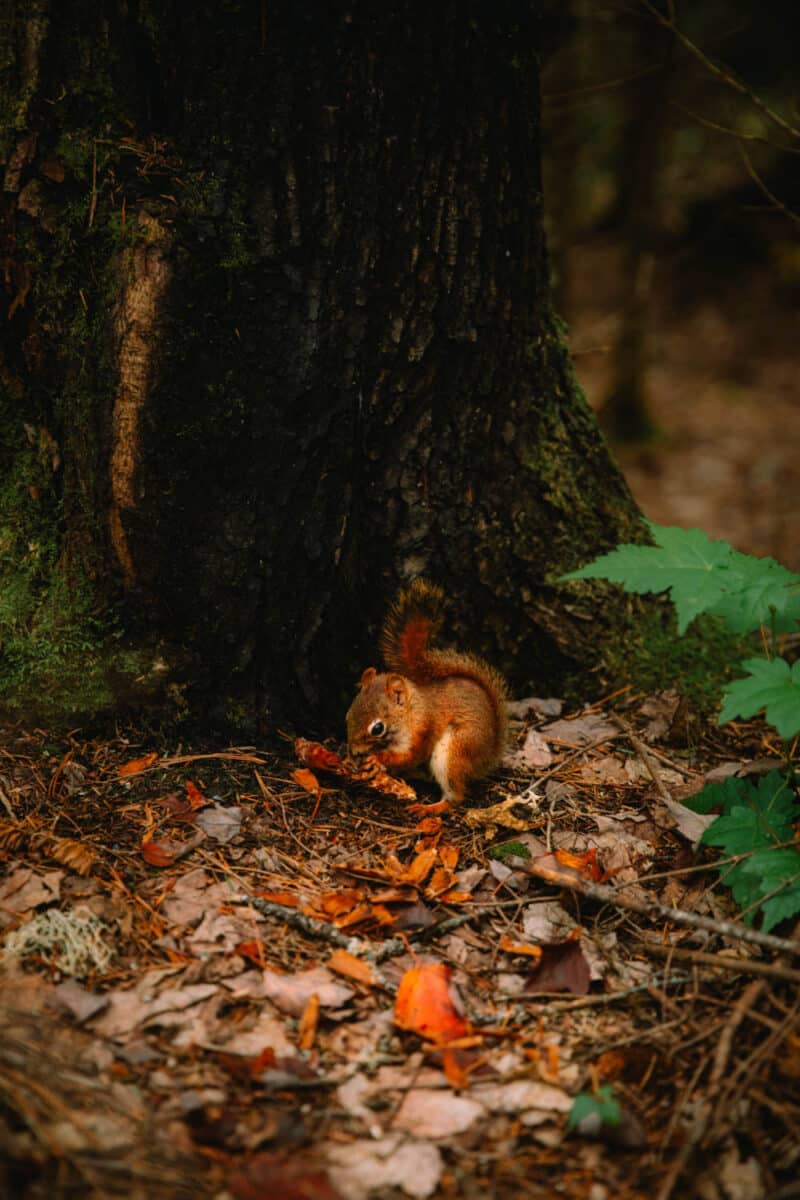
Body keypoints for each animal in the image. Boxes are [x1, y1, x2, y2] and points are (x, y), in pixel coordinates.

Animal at [345, 578, 506, 816]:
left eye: (377, 728)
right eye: (347, 715)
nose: (353, 751)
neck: (411, 712)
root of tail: (487, 757)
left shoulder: (423, 730)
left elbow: (410, 756)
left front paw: (377, 759)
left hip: (453, 752)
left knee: (455, 796)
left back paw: (429, 808)